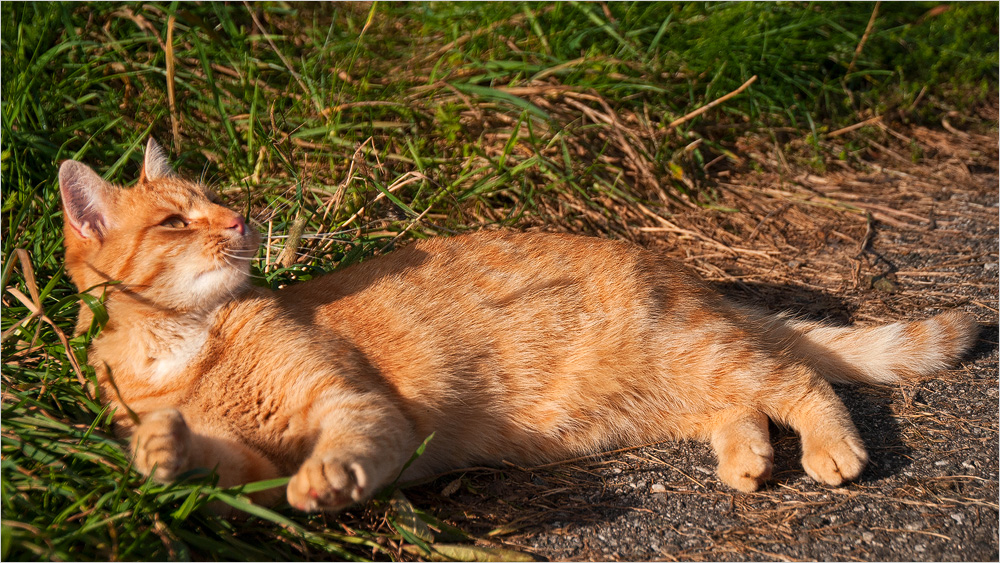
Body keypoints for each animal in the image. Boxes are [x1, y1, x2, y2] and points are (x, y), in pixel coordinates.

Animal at [58, 140, 980, 512]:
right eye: (176, 220)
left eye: (219, 201)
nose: (243, 219)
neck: (180, 350)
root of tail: (690, 274)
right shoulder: (251, 463)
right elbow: (211, 457)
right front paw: (161, 448)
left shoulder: (358, 409)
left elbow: (342, 448)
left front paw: (327, 481)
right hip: (668, 389)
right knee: (744, 404)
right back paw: (747, 459)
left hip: (693, 352)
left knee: (796, 376)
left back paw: (831, 448)